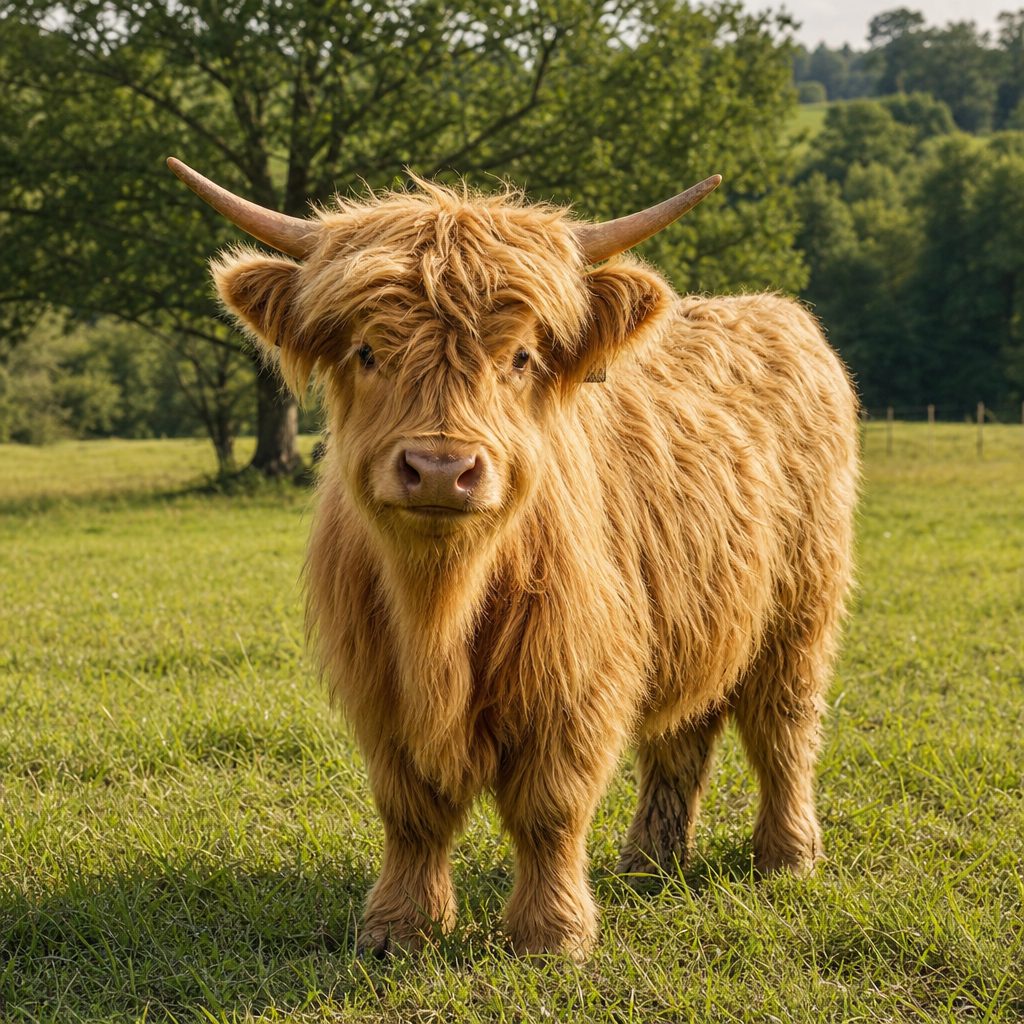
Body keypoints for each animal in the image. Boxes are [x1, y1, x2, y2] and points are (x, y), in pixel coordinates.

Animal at [168, 157, 859, 959]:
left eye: (521, 356)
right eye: (368, 351)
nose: (441, 469)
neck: (439, 607)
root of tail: (772, 312)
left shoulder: (574, 675)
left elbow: (549, 809)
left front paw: (551, 936)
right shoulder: (380, 687)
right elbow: (410, 810)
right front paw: (398, 929)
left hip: (801, 606)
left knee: (783, 727)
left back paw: (787, 858)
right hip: (696, 611)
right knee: (681, 736)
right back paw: (648, 865)